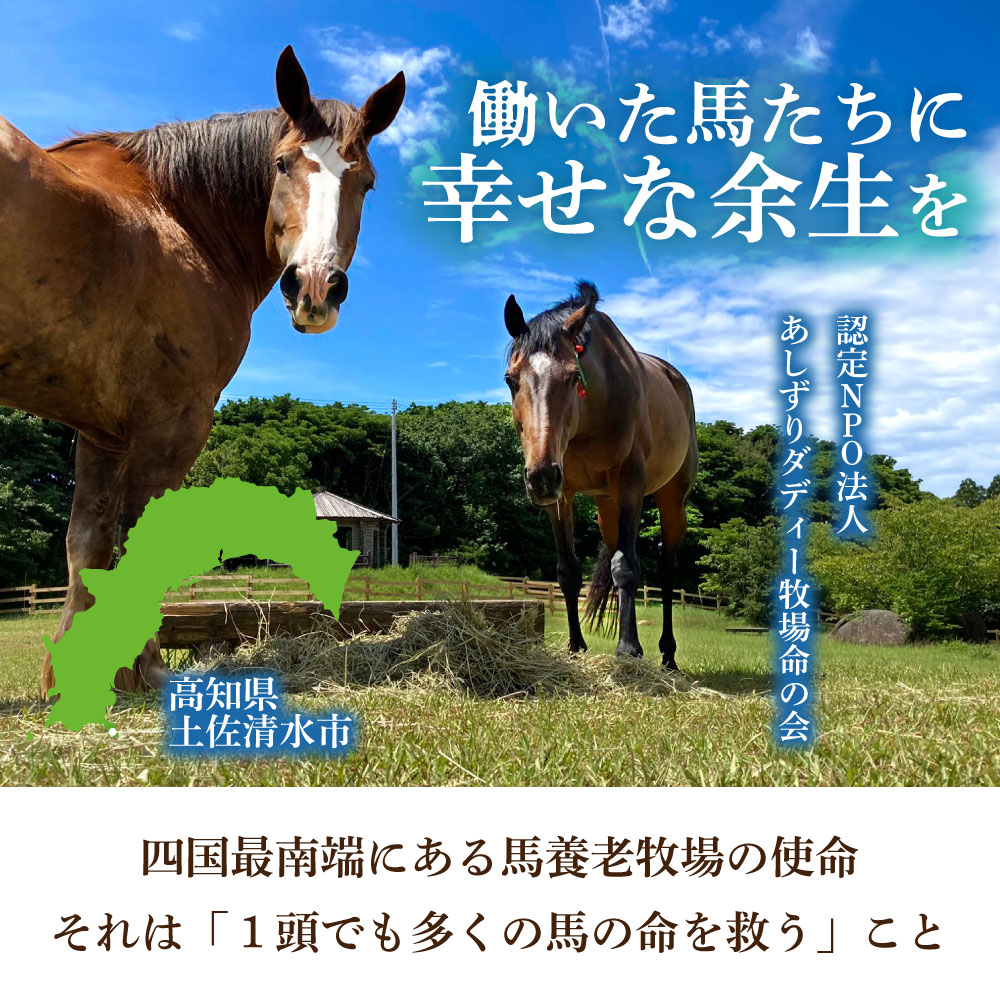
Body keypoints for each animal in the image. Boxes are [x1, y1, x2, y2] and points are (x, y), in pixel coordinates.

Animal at [0, 46, 405, 697]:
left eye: (364, 181)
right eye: (282, 164)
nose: (315, 287)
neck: (179, 217)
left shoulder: (102, 432)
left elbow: (86, 543)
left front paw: (71, 679)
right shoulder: (174, 423)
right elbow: (137, 539)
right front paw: (147, 669)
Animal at [503, 281, 698, 668]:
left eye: (573, 376)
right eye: (510, 380)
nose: (540, 477)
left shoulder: (630, 483)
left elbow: (626, 567)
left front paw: (628, 649)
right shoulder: (561, 495)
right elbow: (568, 570)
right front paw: (576, 646)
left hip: (672, 498)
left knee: (667, 571)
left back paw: (668, 656)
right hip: (606, 505)